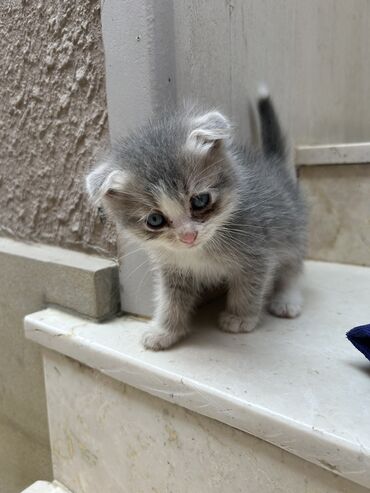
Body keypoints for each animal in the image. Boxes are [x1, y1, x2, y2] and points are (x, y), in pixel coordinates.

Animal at [86, 89, 306, 350]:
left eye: (200, 201)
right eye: (155, 220)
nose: (188, 236)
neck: (200, 251)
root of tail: (273, 166)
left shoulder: (257, 251)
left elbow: (249, 287)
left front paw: (240, 316)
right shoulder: (172, 268)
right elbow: (171, 299)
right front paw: (164, 331)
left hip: (291, 231)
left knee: (292, 267)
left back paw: (287, 299)